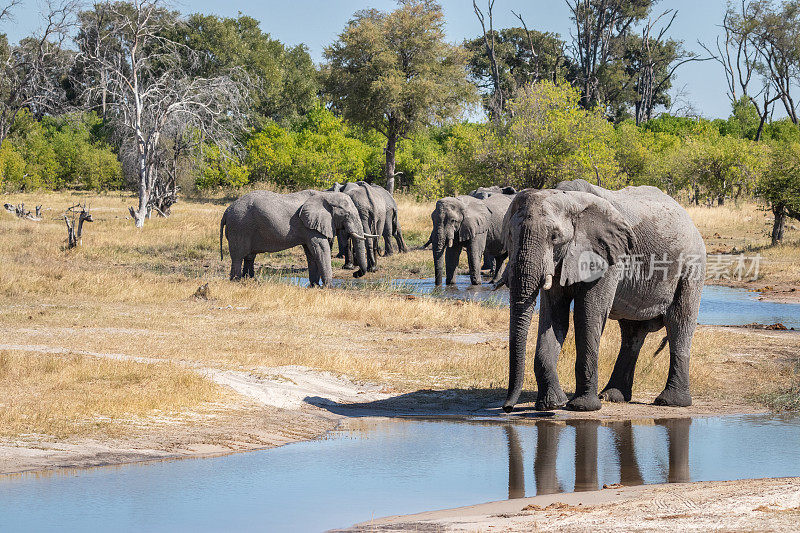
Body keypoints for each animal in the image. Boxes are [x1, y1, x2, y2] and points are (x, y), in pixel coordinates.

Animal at [219, 189, 368, 284]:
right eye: (347, 214)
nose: (355, 273)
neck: (326, 195)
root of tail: (227, 210)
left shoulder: (309, 227)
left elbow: (311, 253)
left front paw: (315, 286)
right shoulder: (311, 226)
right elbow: (320, 249)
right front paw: (328, 287)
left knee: (249, 256)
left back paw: (250, 280)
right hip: (239, 226)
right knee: (238, 256)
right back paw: (236, 281)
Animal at [504, 179, 704, 412]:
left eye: (554, 237)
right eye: (509, 235)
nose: (507, 408)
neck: (570, 199)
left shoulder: (607, 256)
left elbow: (588, 314)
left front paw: (581, 407)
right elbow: (555, 317)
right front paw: (551, 404)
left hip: (691, 266)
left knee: (679, 323)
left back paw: (671, 402)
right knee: (632, 333)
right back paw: (612, 396)